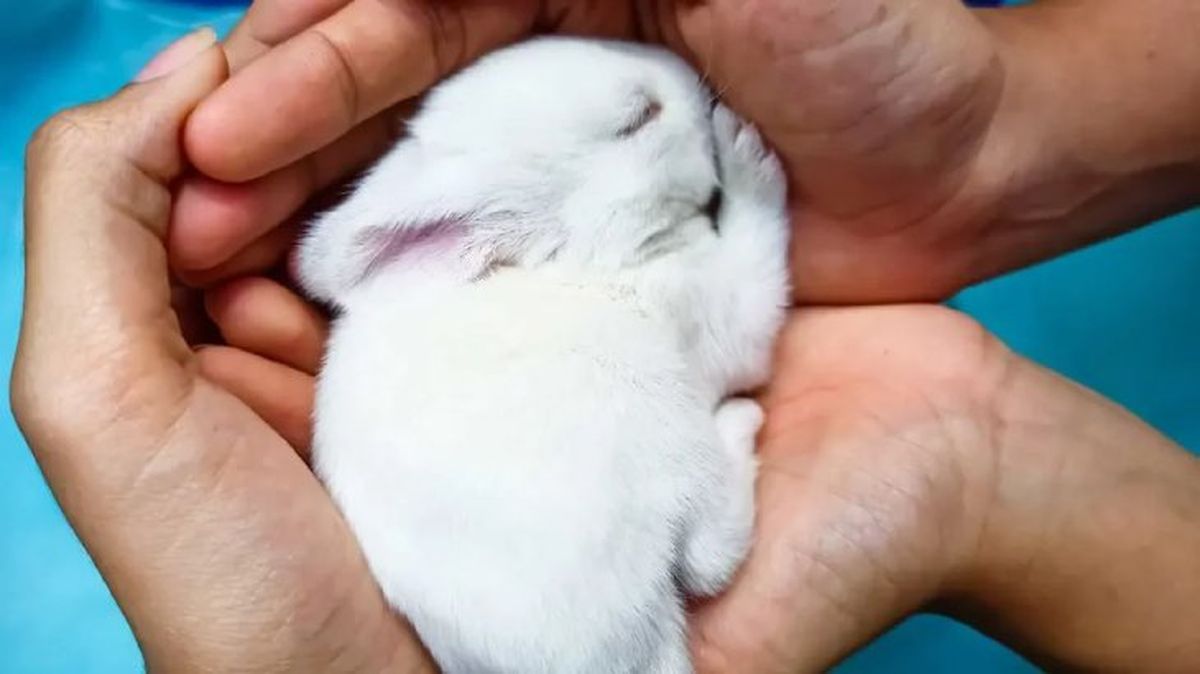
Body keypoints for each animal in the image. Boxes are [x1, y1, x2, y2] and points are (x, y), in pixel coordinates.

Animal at [298, 36, 791, 674]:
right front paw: (746, 154)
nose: (683, 68)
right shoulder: (717, 310)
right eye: (638, 119)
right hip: (672, 448)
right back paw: (741, 421)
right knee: (711, 556)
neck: (581, 255)